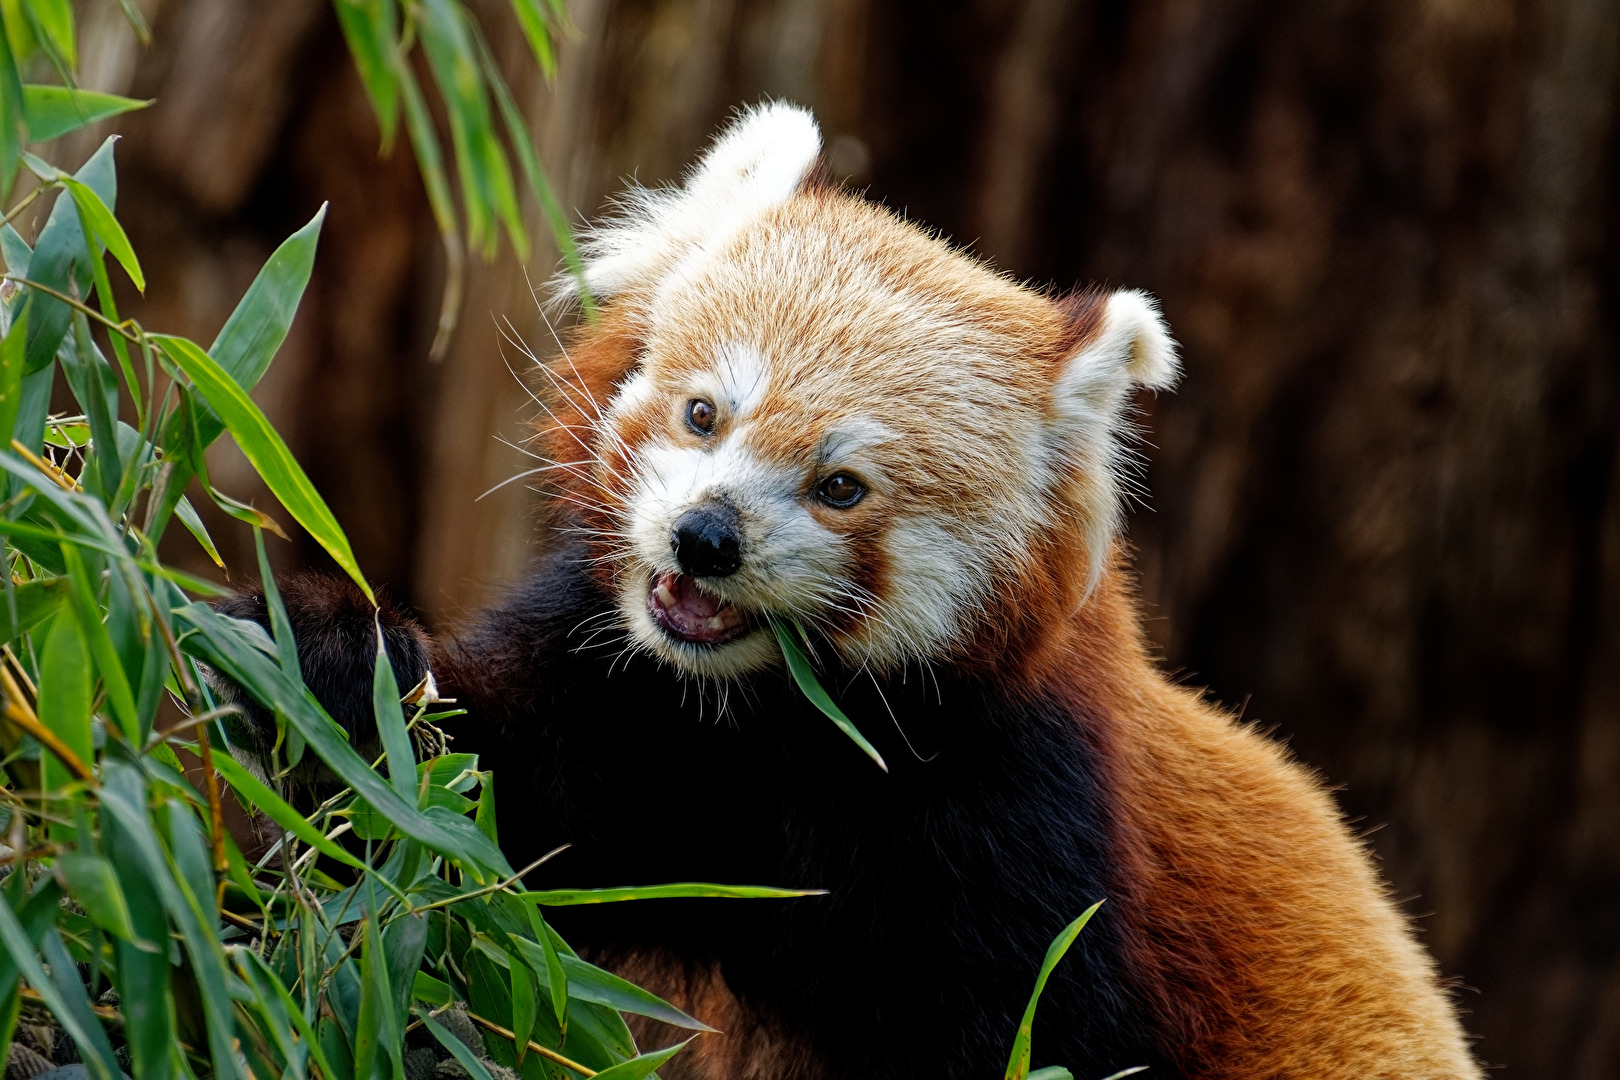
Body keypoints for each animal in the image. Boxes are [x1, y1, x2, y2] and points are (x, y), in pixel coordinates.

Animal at [222, 103, 1483, 1079]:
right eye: (704, 413)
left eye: (840, 487)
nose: (706, 539)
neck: (772, 723)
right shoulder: (624, 706)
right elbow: (475, 804)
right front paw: (320, 657)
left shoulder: (1021, 836)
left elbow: (1034, 1039)